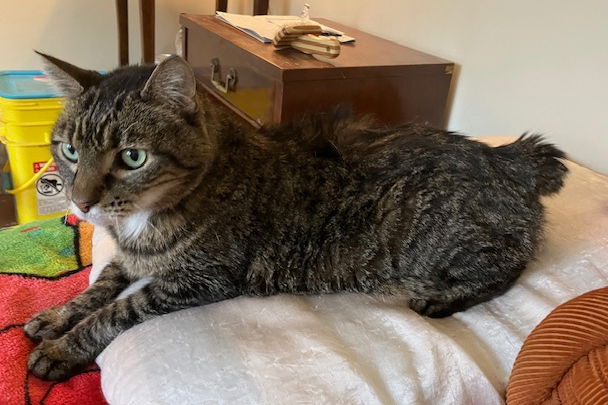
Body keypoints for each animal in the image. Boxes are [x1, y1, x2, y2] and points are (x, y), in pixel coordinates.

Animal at [25, 52, 568, 381]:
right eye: (69, 150)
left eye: (133, 157)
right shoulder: (132, 260)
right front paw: (55, 316)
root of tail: (509, 157)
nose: (81, 203)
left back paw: (440, 298)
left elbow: (118, 310)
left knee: (509, 266)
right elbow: (98, 286)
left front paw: (63, 348)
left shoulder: (200, 280)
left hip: (445, 244)